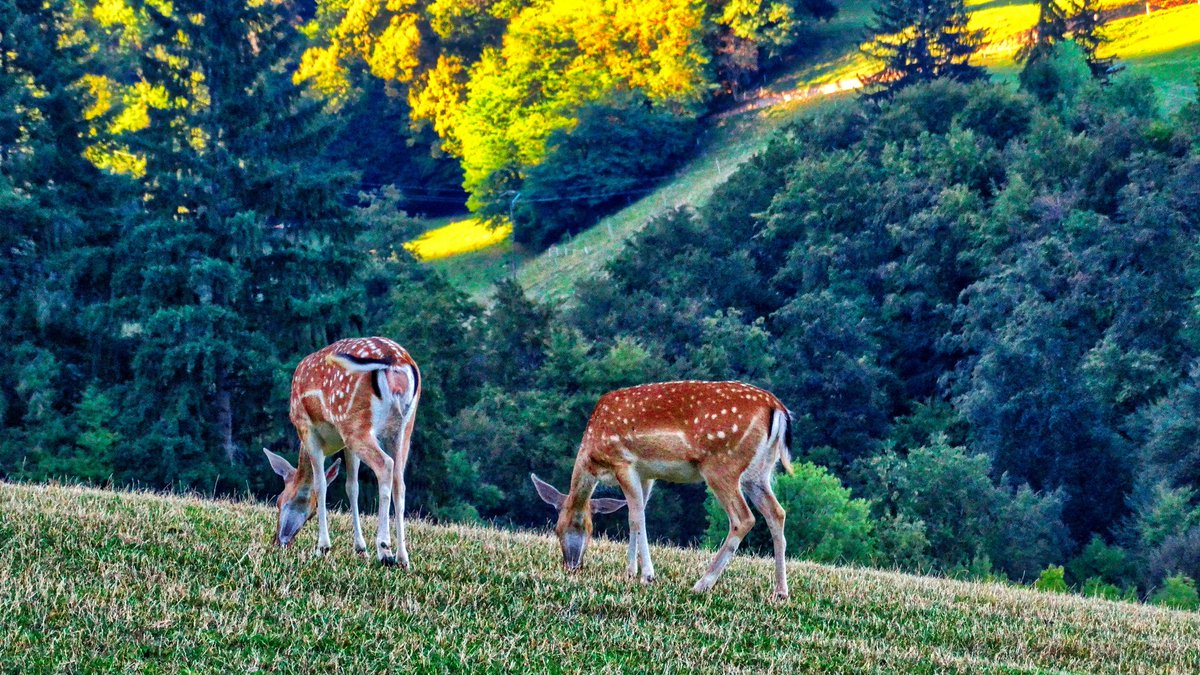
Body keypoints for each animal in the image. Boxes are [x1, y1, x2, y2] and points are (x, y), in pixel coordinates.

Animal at [262, 337, 420, 566]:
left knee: (385, 465)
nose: (279, 541)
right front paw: (360, 548)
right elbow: (351, 487)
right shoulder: (346, 446)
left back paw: (384, 550)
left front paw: (322, 547)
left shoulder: (307, 430)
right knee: (400, 480)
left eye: (279, 501)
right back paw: (402, 558)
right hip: (403, 427)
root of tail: (394, 361)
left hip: (353, 421)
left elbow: (320, 484)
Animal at [531, 380, 794, 599]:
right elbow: (634, 516)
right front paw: (630, 572)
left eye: (558, 528)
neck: (593, 455)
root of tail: (777, 408)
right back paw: (780, 592)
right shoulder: (646, 474)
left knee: (744, 518)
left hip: (721, 465)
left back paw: (702, 583)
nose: (571, 565)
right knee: (777, 513)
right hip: (760, 471)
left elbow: (637, 517)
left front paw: (647, 575)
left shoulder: (623, 462)